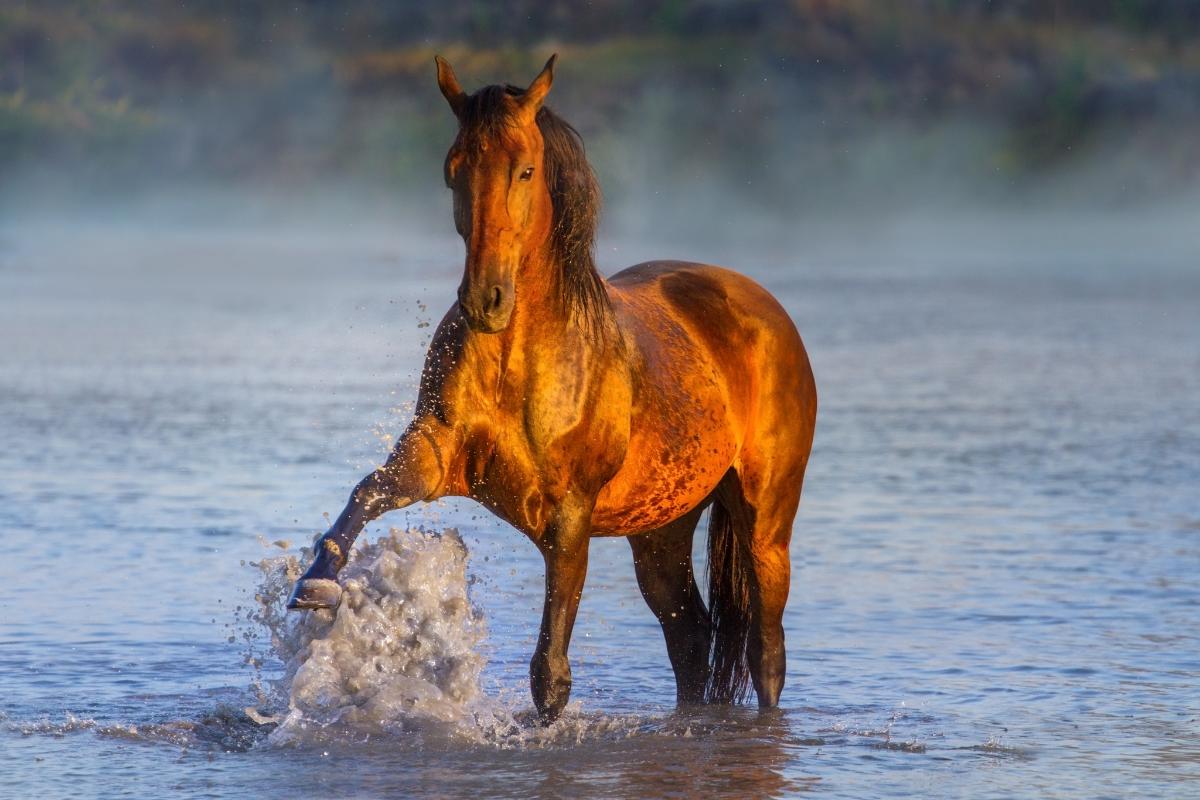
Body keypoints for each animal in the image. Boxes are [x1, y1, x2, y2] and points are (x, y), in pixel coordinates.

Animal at [287, 54, 817, 722]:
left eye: (526, 169)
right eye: (453, 170)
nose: (485, 299)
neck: (518, 363)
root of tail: (761, 306)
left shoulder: (569, 518)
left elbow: (550, 674)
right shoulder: (435, 454)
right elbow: (368, 491)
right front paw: (316, 583)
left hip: (764, 515)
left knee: (765, 649)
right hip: (662, 528)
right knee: (691, 637)